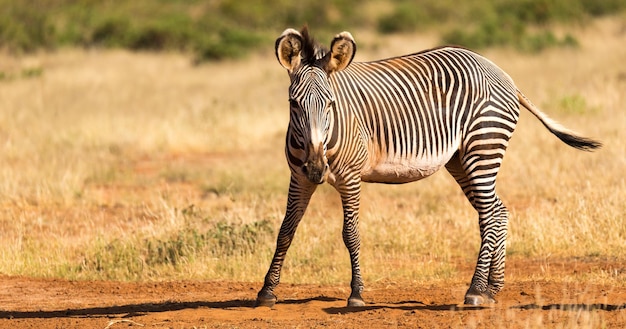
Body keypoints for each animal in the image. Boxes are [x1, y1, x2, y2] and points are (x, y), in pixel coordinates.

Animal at [255, 26, 600, 308]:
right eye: (293, 104)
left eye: (330, 104)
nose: (317, 166)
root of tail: (501, 73)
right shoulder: (298, 177)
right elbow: (286, 229)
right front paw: (267, 291)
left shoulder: (351, 176)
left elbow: (350, 233)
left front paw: (356, 294)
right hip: (460, 159)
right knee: (498, 212)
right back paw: (492, 289)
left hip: (483, 145)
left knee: (490, 215)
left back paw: (476, 291)